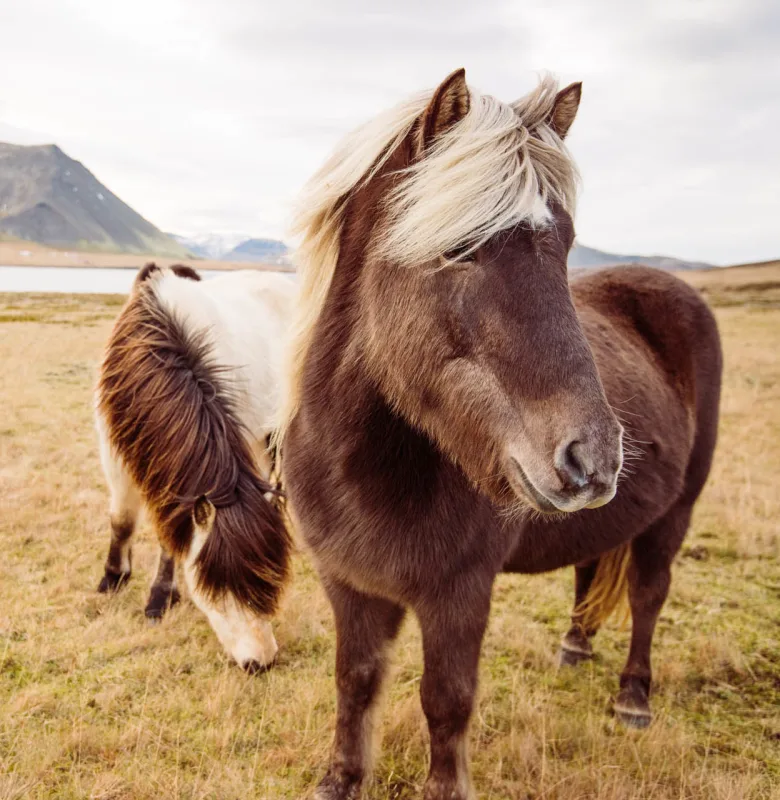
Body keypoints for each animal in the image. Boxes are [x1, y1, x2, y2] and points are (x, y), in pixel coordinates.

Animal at [95, 263, 294, 672]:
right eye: (218, 587)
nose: (262, 661)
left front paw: (159, 598)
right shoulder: (113, 453)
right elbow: (122, 520)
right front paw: (113, 580)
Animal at [280, 69, 722, 800]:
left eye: (566, 247)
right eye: (461, 247)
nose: (592, 458)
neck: (365, 471)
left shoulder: (460, 592)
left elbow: (446, 701)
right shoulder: (349, 582)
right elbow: (355, 682)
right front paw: (339, 779)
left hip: (676, 513)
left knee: (649, 593)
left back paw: (633, 698)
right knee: (592, 566)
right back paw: (574, 648)